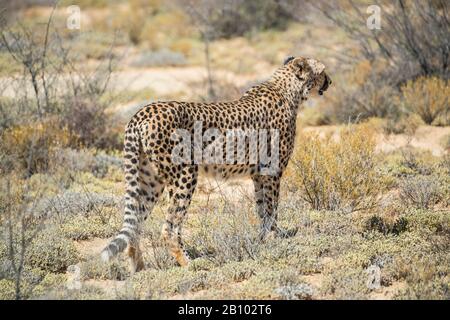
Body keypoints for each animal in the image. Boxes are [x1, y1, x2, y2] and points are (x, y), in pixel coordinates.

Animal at [103, 56, 332, 272]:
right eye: (322, 71)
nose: (329, 81)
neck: (286, 89)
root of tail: (142, 112)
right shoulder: (272, 171)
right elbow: (271, 209)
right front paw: (274, 239)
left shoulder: (258, 175)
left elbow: (262, 209)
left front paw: (262, 240)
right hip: (184, 174)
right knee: (169, 227)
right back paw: (190, 263)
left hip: (151, 180)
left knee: (136, 224)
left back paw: (140, 268)